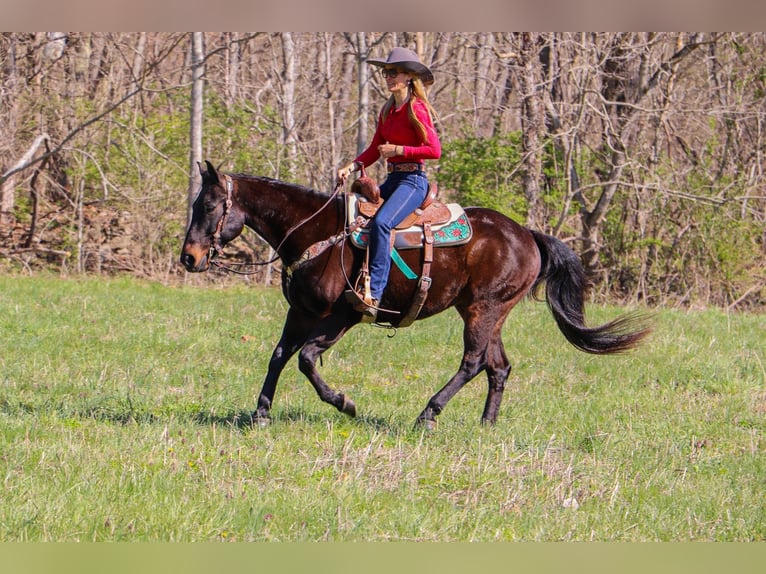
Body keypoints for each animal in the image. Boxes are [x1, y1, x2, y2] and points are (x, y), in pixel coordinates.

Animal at [183, 160, 652, 430]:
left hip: (483, 309)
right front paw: (261, 413)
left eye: (208, 206)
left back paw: (427, 414)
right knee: (498, 367)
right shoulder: (301, 311)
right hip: (487, 311)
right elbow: (279, 356)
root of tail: (527, 234)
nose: (189, 257)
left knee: (474, 362)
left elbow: (307, 359)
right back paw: (486, 425)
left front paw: (344, 403)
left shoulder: (343, 315)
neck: (316, 232)